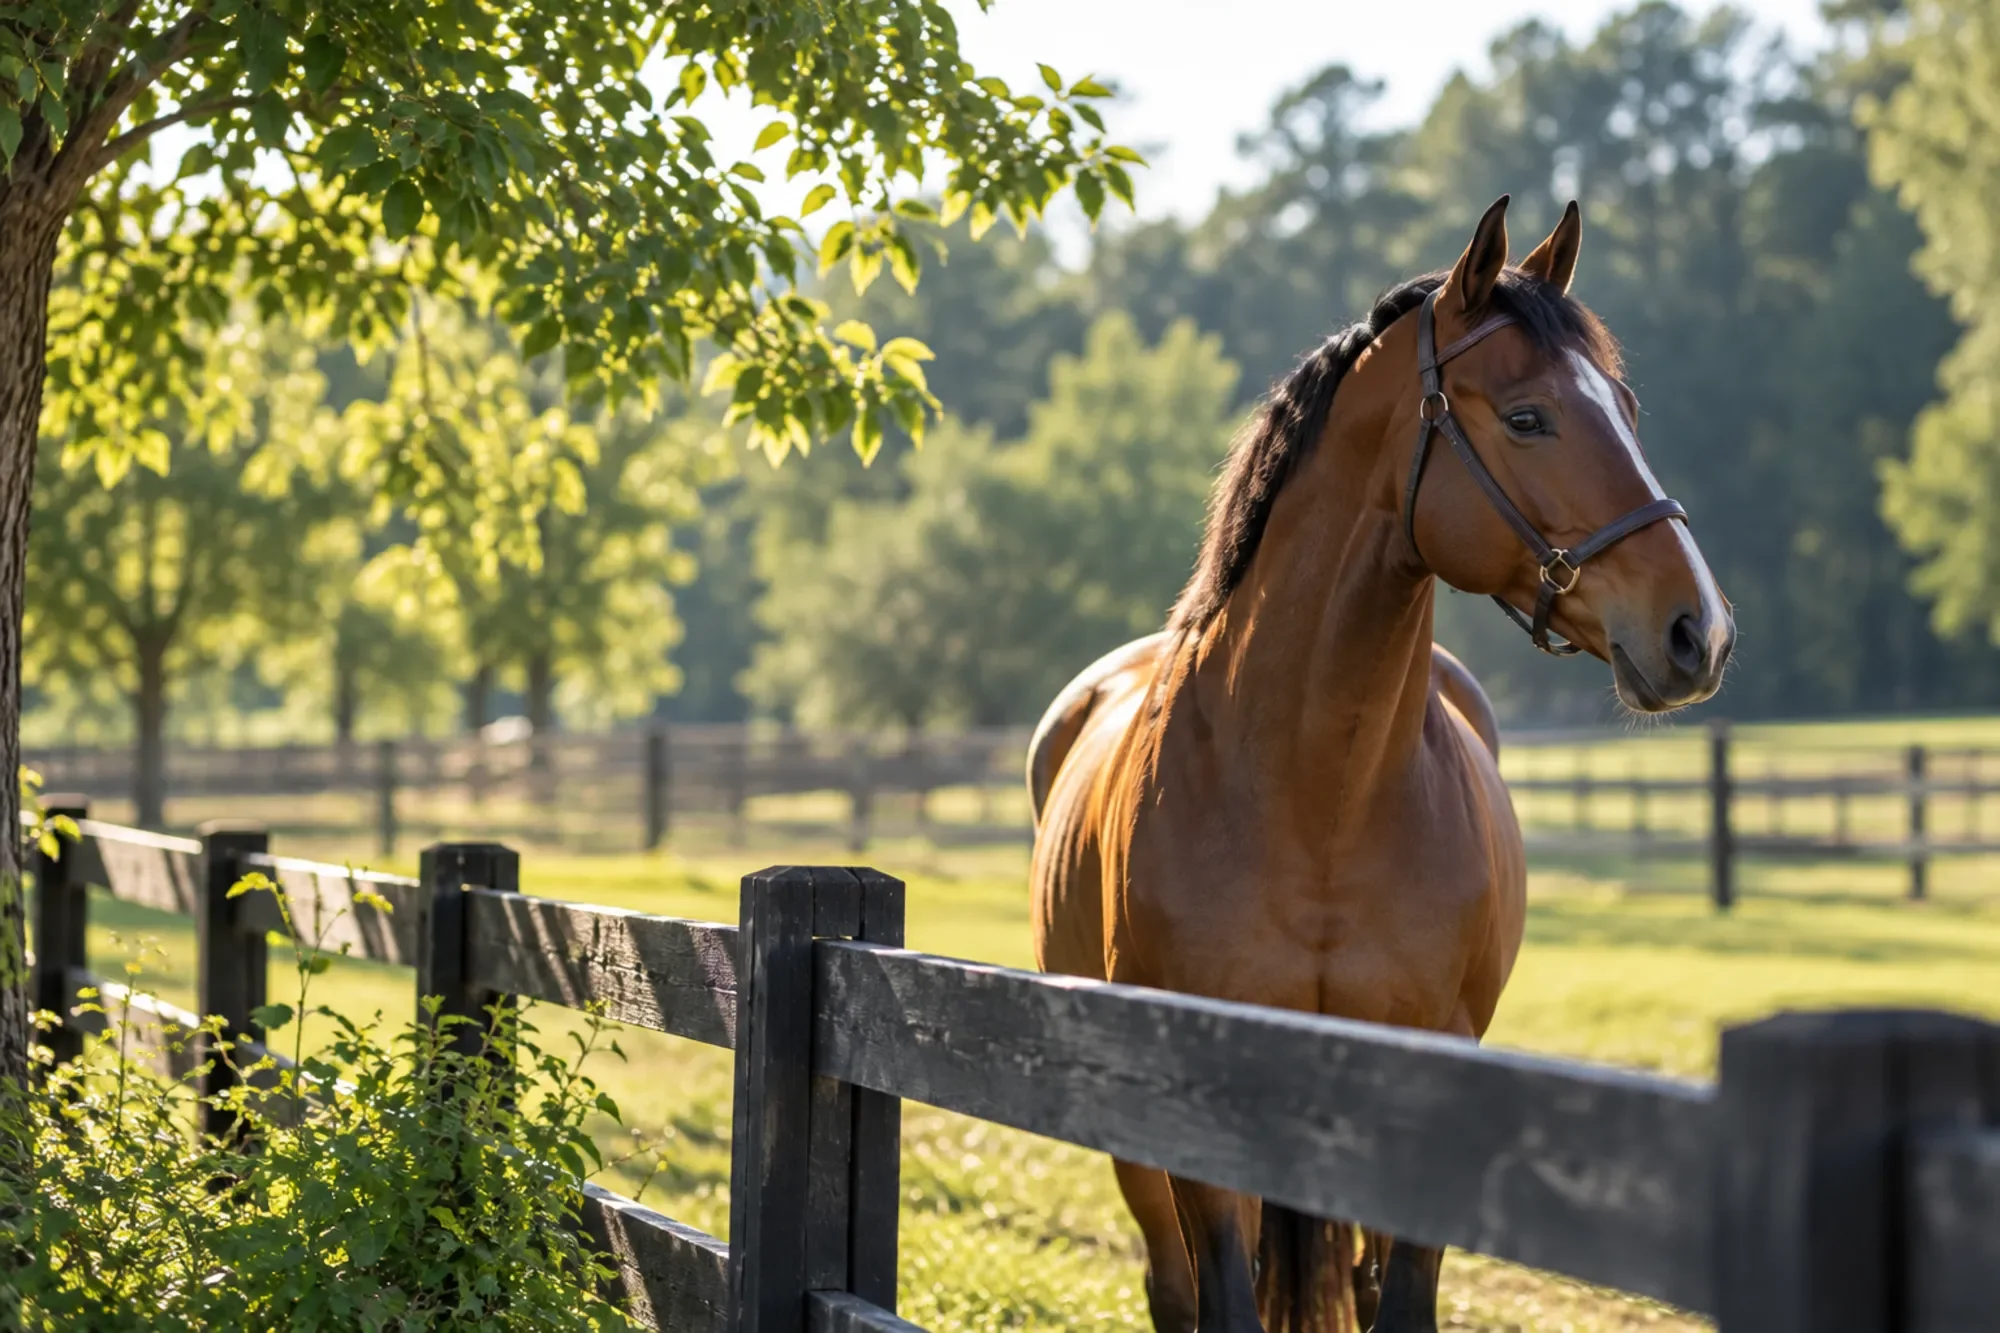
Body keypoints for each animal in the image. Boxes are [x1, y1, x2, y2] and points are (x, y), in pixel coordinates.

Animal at [1025, 196, 1733, 1333]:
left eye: (1624, 406)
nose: (1696, 631)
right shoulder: (1190, 1111)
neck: (1318, 797)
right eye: (1526, 417)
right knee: (1170, 1286)